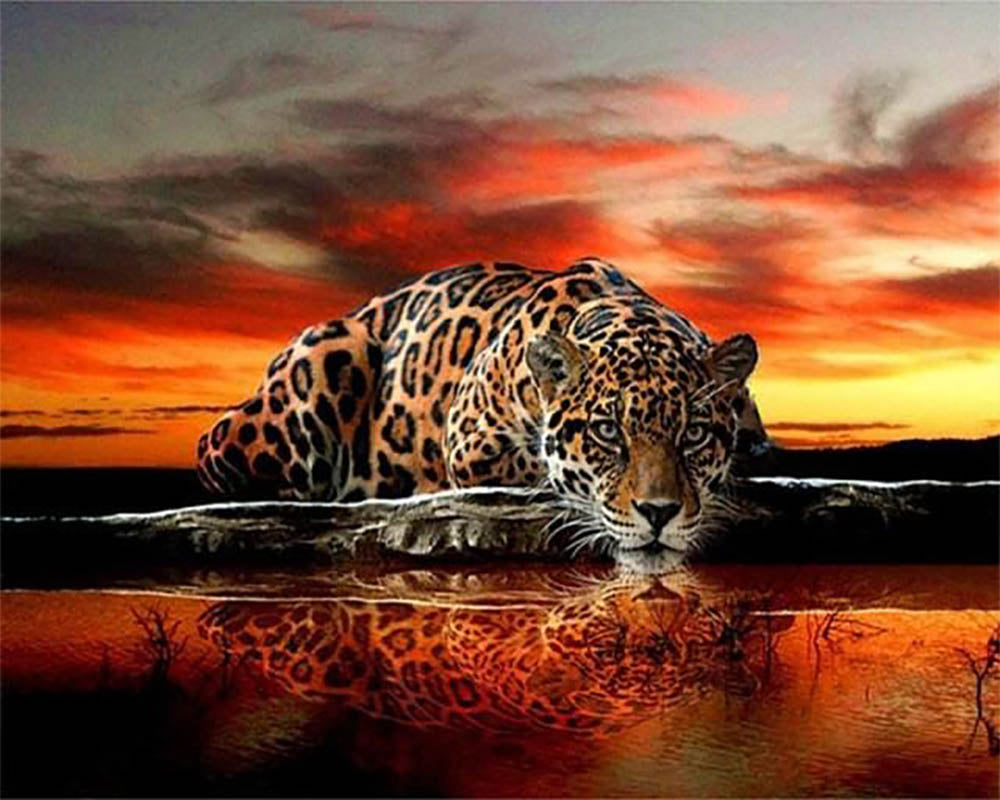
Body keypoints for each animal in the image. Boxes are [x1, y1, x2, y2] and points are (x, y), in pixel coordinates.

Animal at [197, 257, 765, 559]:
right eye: (606, 432)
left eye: (693, 434)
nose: (659, 514)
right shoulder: (471, 441)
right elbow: (540, 465)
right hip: (325, 359)